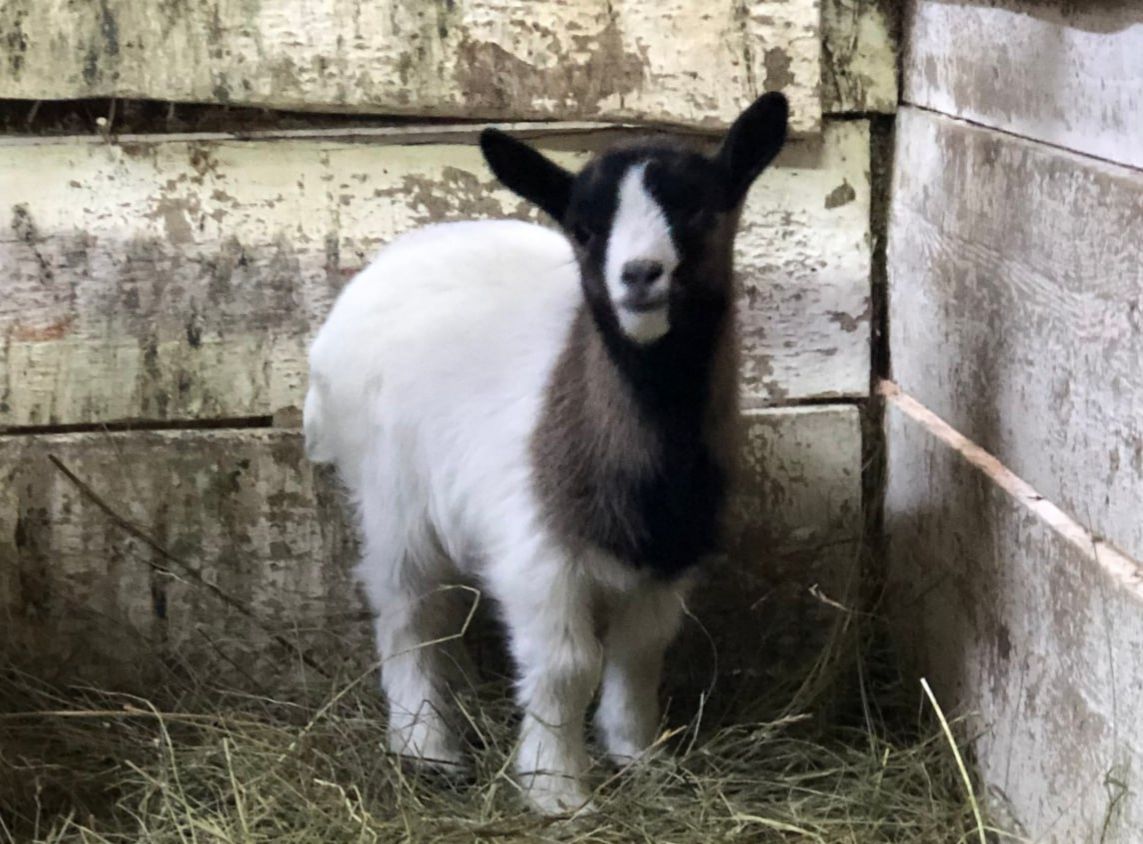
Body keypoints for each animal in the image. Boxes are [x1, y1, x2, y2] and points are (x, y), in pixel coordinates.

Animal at [299, 90, 790, 809]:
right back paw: (426, 745)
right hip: (390, 488)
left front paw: (639, 756)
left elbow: (639, 651)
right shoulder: (538, 550)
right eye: (584, 230)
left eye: (700, 210)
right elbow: (566, 666)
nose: (638, 275)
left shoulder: (666, 553)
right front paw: (556, 789)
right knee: (405, 605)